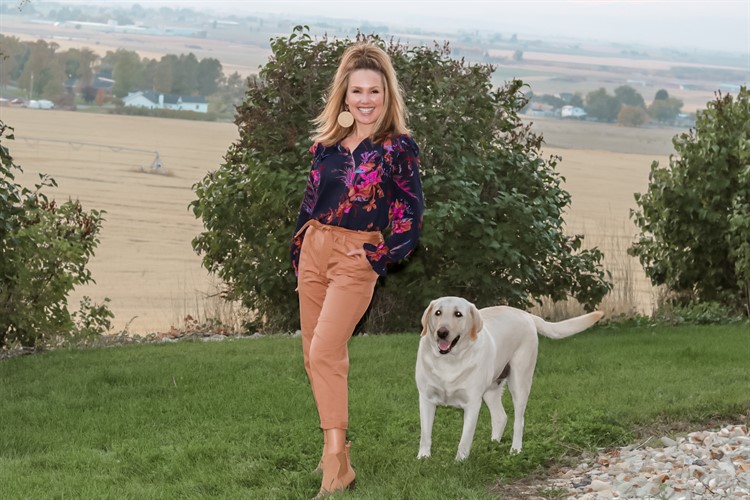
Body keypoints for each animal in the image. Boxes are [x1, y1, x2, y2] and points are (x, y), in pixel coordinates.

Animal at [418, 296, 604, 460]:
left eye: (458, 314)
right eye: (438, 312)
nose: (442, 332)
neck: (449, 361)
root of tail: (525, 314)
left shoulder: (472, 403)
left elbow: (465, 439)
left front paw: (460, 461)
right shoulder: (426, 399)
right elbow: (425, 434)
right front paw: (423, 458)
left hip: (520, 382)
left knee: (518, 421)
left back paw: (515, 450)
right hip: (491, 389)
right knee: (500, 417)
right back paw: (492, 444)